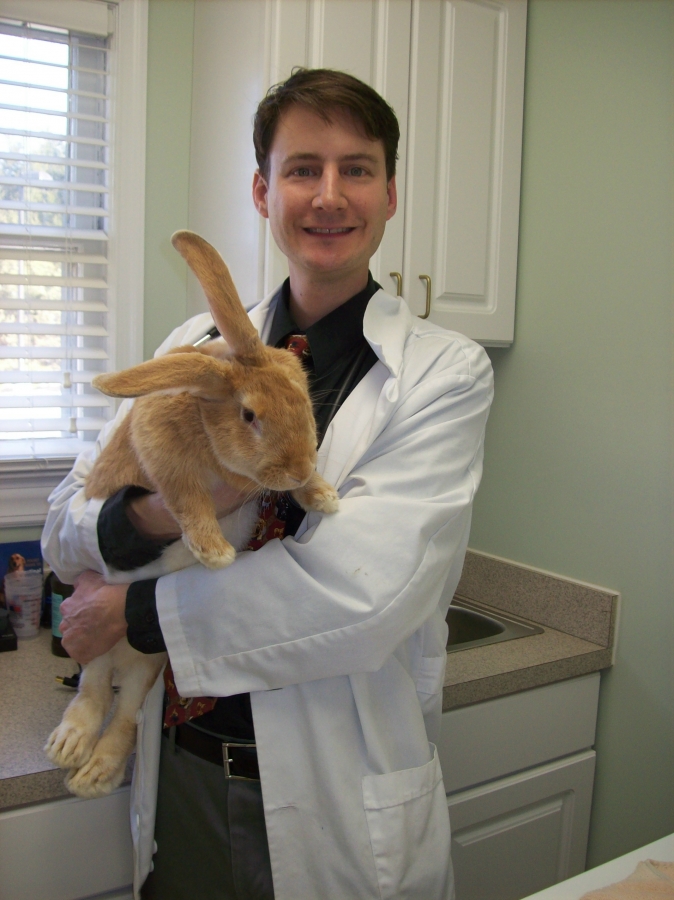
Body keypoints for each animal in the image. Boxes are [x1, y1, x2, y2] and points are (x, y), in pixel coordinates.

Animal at [43, 230, 336, 796]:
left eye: (303, 400)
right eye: (250, 415)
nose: (295, 468)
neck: (206, 411)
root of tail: (122, 656)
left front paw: (324, 495)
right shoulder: (164, 459)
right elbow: (187, 500)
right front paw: (216, 552)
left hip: (149, 660)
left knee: (125, 711)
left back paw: (95, 771)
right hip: (94, 646)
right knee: (93, 691)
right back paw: (70, 750)